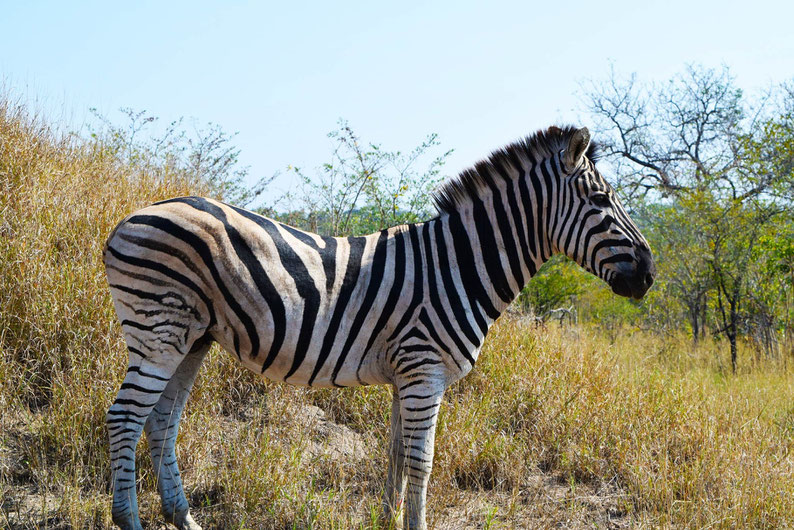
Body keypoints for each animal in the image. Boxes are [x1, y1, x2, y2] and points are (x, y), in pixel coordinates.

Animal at [102, 125, 652, 528]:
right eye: (602, 201)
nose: (648, 274)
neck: (458, 264)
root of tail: (131, 216)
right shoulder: (425, 372)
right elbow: (421, 461)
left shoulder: (406, 376)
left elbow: (395, 457)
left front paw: (387, 522)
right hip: (158, 332)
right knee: (125, 418)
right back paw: (130, 520)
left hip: (191, 339)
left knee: (161, 422)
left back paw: (183, 518)